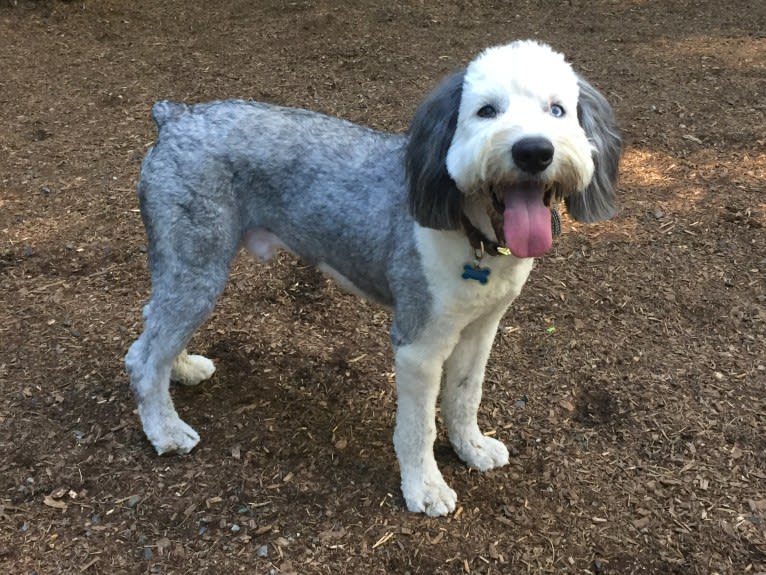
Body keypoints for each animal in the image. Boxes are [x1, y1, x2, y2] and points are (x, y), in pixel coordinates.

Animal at [124, 40, 616, 516]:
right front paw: (426, 489)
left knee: (155, 328)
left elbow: (465, 395)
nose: (533, 151)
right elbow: (418, 427)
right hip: (198, 264)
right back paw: (166, 431)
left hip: (188, 266)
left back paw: (182, 367)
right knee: (143, 357)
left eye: (557, 110)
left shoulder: (481, 328)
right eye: (486, 111)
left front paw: (472, 448)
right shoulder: (419, 346)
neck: (470, 231)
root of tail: (175, 116)